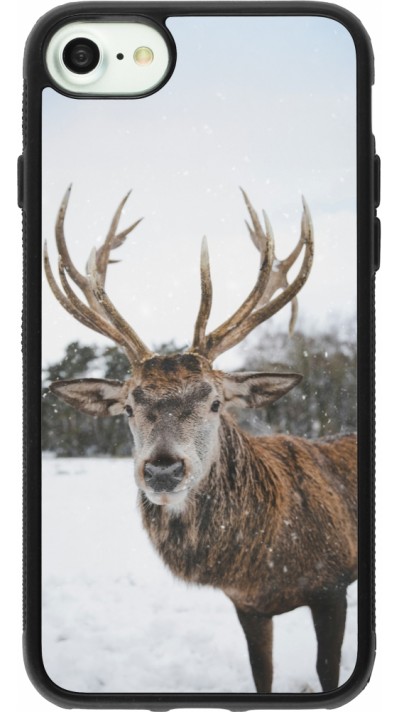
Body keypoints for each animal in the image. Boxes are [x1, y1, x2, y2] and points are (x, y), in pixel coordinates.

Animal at [44, 186, 357, 694]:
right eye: (128, 407)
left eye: (214, 402)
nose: (163, 469)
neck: (266, 564)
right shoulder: (247, 605)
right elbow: (262, 676)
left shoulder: (332, 584)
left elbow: (328, 671)